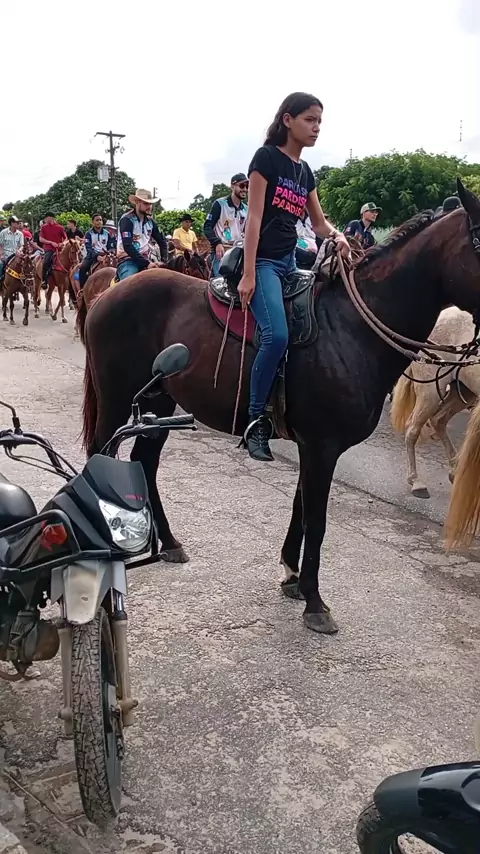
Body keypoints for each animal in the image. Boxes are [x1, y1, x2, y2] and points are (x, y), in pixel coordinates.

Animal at [390, 307, 478, 498]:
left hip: (464, 391)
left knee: (439, 420)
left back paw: (454, 471)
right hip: (430, 391)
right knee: (413, 429)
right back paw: (416, 482)